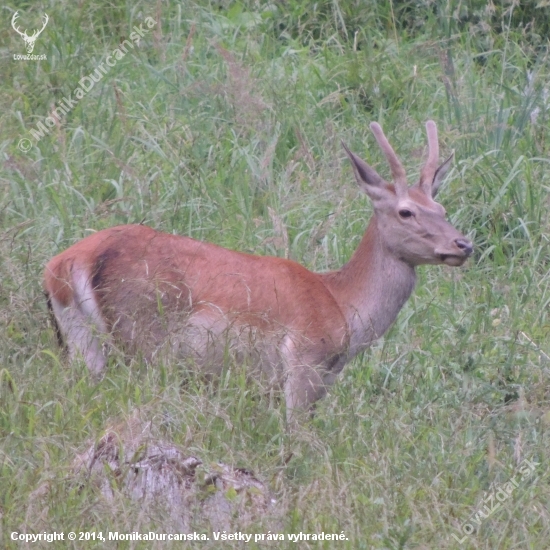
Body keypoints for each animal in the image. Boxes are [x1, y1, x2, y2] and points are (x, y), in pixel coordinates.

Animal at [44, 122, 474, 422]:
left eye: (442, 209)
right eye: (406, 211)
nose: (463, 244)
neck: (342, 307)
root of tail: (64, 265)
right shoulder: (303, 359)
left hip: (81, 342)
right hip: (142, 336)